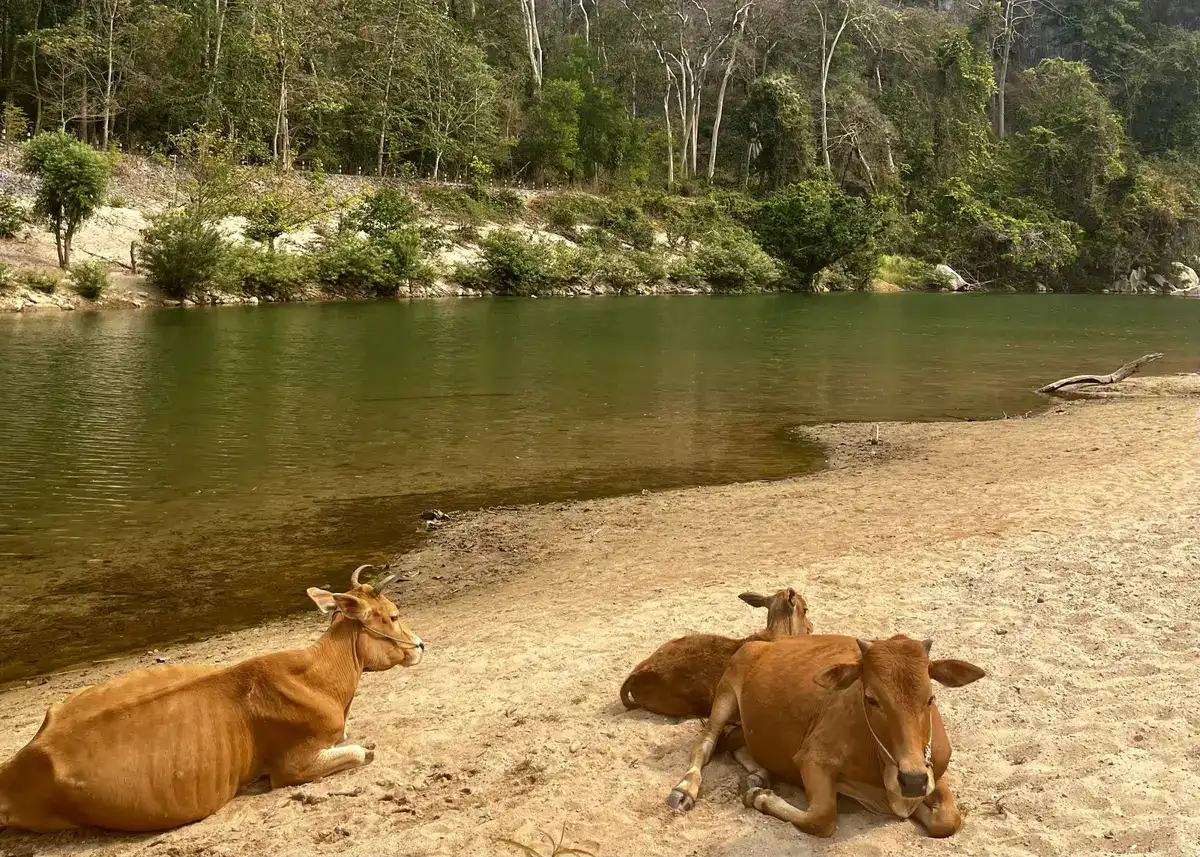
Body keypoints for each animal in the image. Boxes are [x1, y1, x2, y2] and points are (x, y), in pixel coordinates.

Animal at [0, 565, 424, 833]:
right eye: (394, 615)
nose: (420, 645)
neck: (321, 675)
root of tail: (20, 763)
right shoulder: (292, 765)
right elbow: (362, 752)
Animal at [666, 634, 985, 838]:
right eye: (871, 698)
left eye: (930, 698)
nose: (913, 780)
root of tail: (762, 643)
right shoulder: (812, 759)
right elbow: (821, 818)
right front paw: (760, 798)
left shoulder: (934, 769)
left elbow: (949, 820)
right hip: (726, 693)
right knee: (705, 743)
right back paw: (685, 790)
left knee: (736, 742)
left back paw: (758, 775)